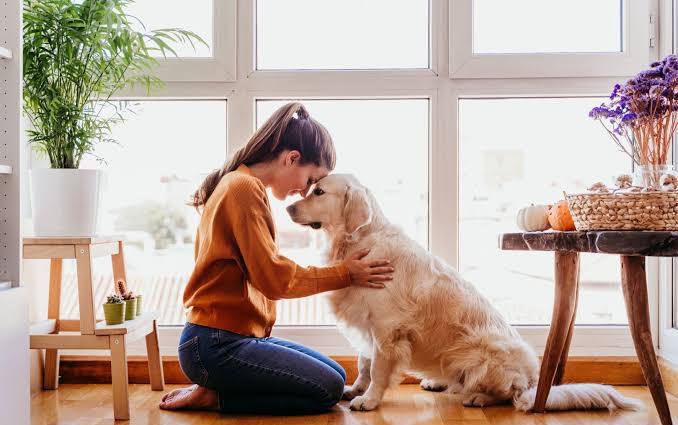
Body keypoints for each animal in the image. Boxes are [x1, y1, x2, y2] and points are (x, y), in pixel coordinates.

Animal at [286, 172, 644, 410]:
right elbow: (363, 363)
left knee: (509, 395)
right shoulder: (367, 323)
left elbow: (377, 368)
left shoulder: (387, 328)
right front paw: (354, 389)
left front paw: (369, 400)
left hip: (482, 354)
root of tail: (533, 382)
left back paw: (477, 396)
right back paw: (438, 381)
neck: (358, 240)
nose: (288, 208)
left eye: (318, 192)